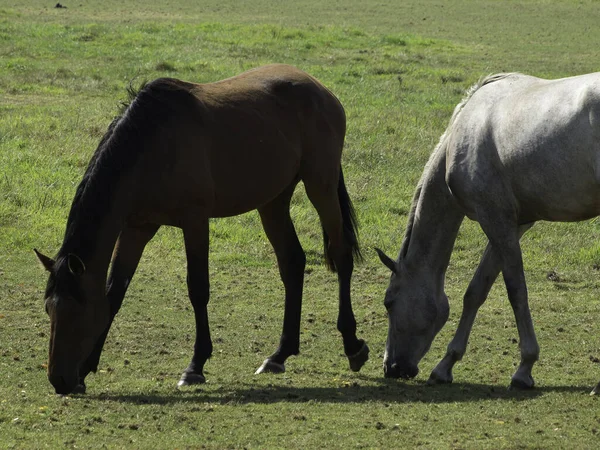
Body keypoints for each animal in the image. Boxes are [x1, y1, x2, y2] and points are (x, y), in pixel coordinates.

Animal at [36, 63, 370, 394]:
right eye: (49, 309)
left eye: (77, 312)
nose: (59, 380)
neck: (152, 144)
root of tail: (320, 89)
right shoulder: (136, 228)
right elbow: (114, 292)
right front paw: (88, 367)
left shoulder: (195, 221)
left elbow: (198, 289)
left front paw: (195, 366)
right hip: (273, 201)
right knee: (292, 262)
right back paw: (279, 354)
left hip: (320, 185)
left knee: (341, 255)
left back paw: (352, 345)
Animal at [378, 70, 600, 394]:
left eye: (389, 302)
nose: (391, 367)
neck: (462, 133)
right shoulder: (512, 224)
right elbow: (476, 291)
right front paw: (445, 366)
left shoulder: (495, 219)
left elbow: (516, 290)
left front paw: (524, 369)